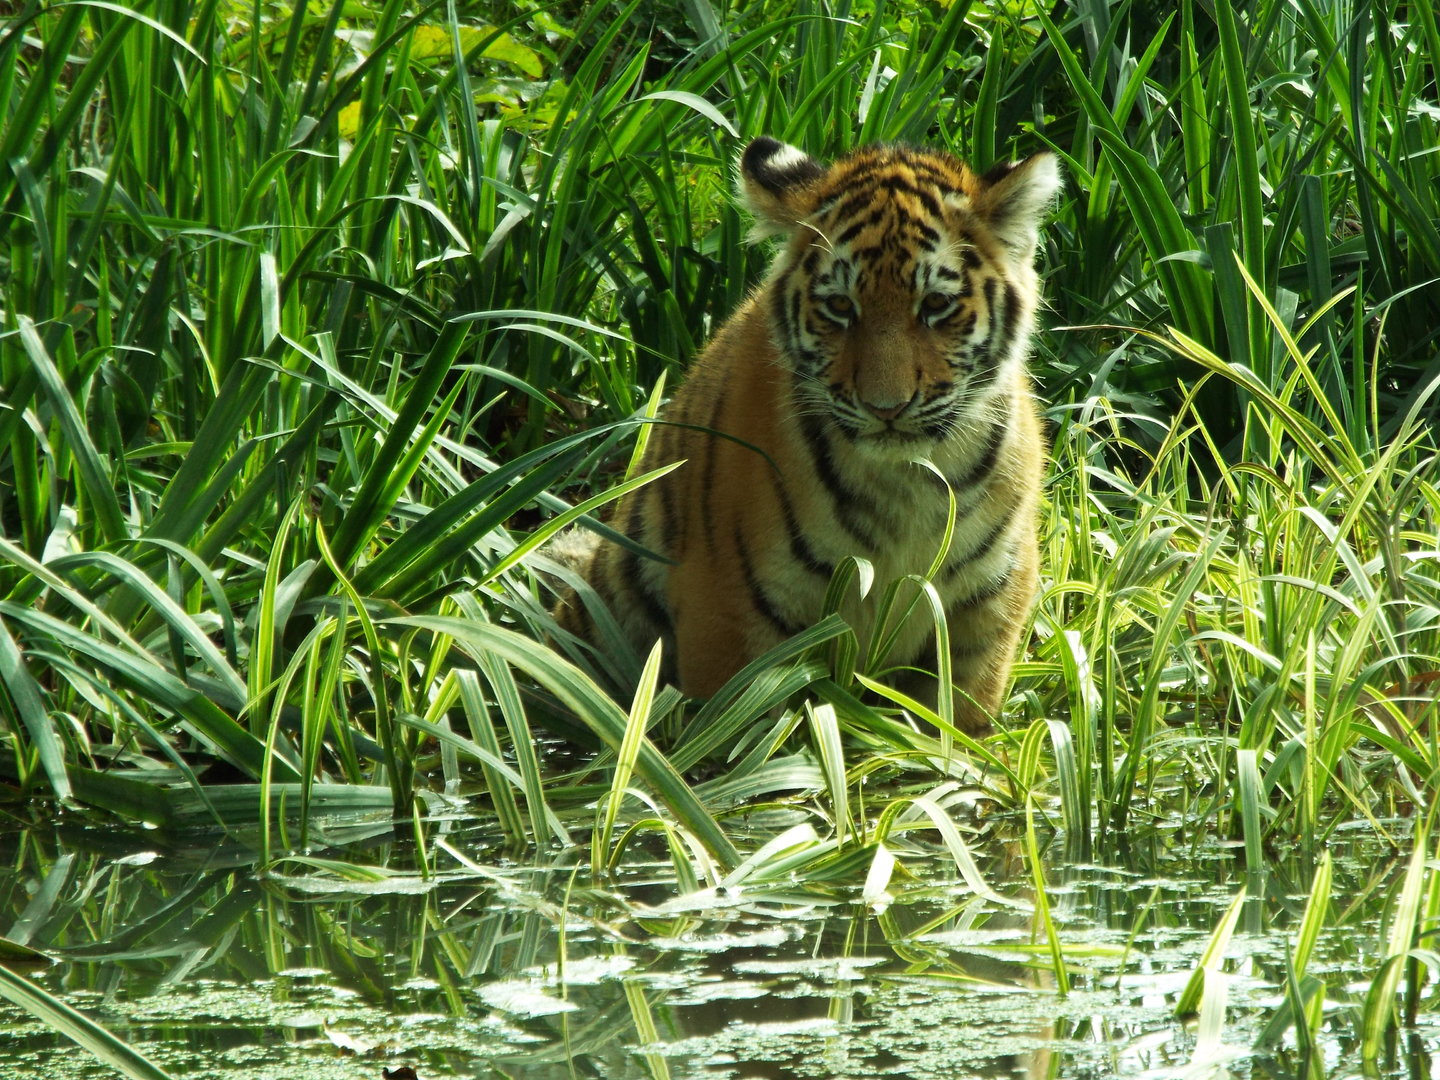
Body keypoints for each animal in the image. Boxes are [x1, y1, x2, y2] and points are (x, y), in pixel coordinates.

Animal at [551, 137, 1061, 734]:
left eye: (936, 305)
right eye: (840, 306)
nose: (886, 407)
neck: (906, 481)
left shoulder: (983, 614)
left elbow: (956, 731)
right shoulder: (725, 612)